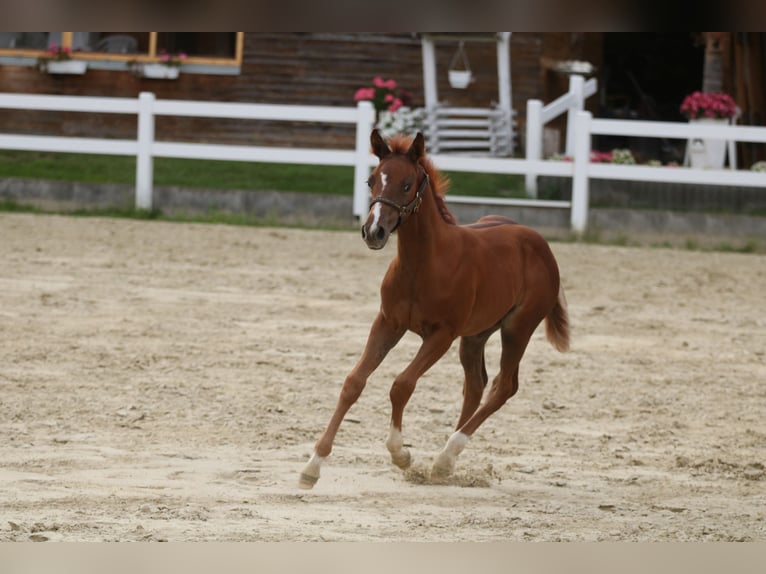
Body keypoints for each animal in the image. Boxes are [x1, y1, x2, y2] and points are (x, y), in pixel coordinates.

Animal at [300, 130, 568, 490]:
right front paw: (312, 466)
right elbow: (353, 382)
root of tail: (542, 245)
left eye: (406, 184)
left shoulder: (442, 334)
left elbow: (401, 385)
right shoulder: (387, 322)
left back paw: (445, 456)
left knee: (503, 386)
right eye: (372, 181)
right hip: (476, 335)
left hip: (517, 329)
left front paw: (401, 454)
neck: (423, 264)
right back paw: (444, 462)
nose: (373, 232)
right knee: (476, 386)